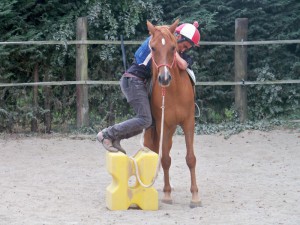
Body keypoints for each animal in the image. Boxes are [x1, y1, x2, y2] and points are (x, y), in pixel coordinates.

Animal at [143, 19, 202, 207]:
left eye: (173, 48)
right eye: (153, 48)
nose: (164, 78)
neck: (174, 91)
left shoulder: (188, 123)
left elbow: (191, 158)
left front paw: (195, 196)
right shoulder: (164, 125)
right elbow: (166, 159)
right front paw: (167, 194)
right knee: (155, 152)